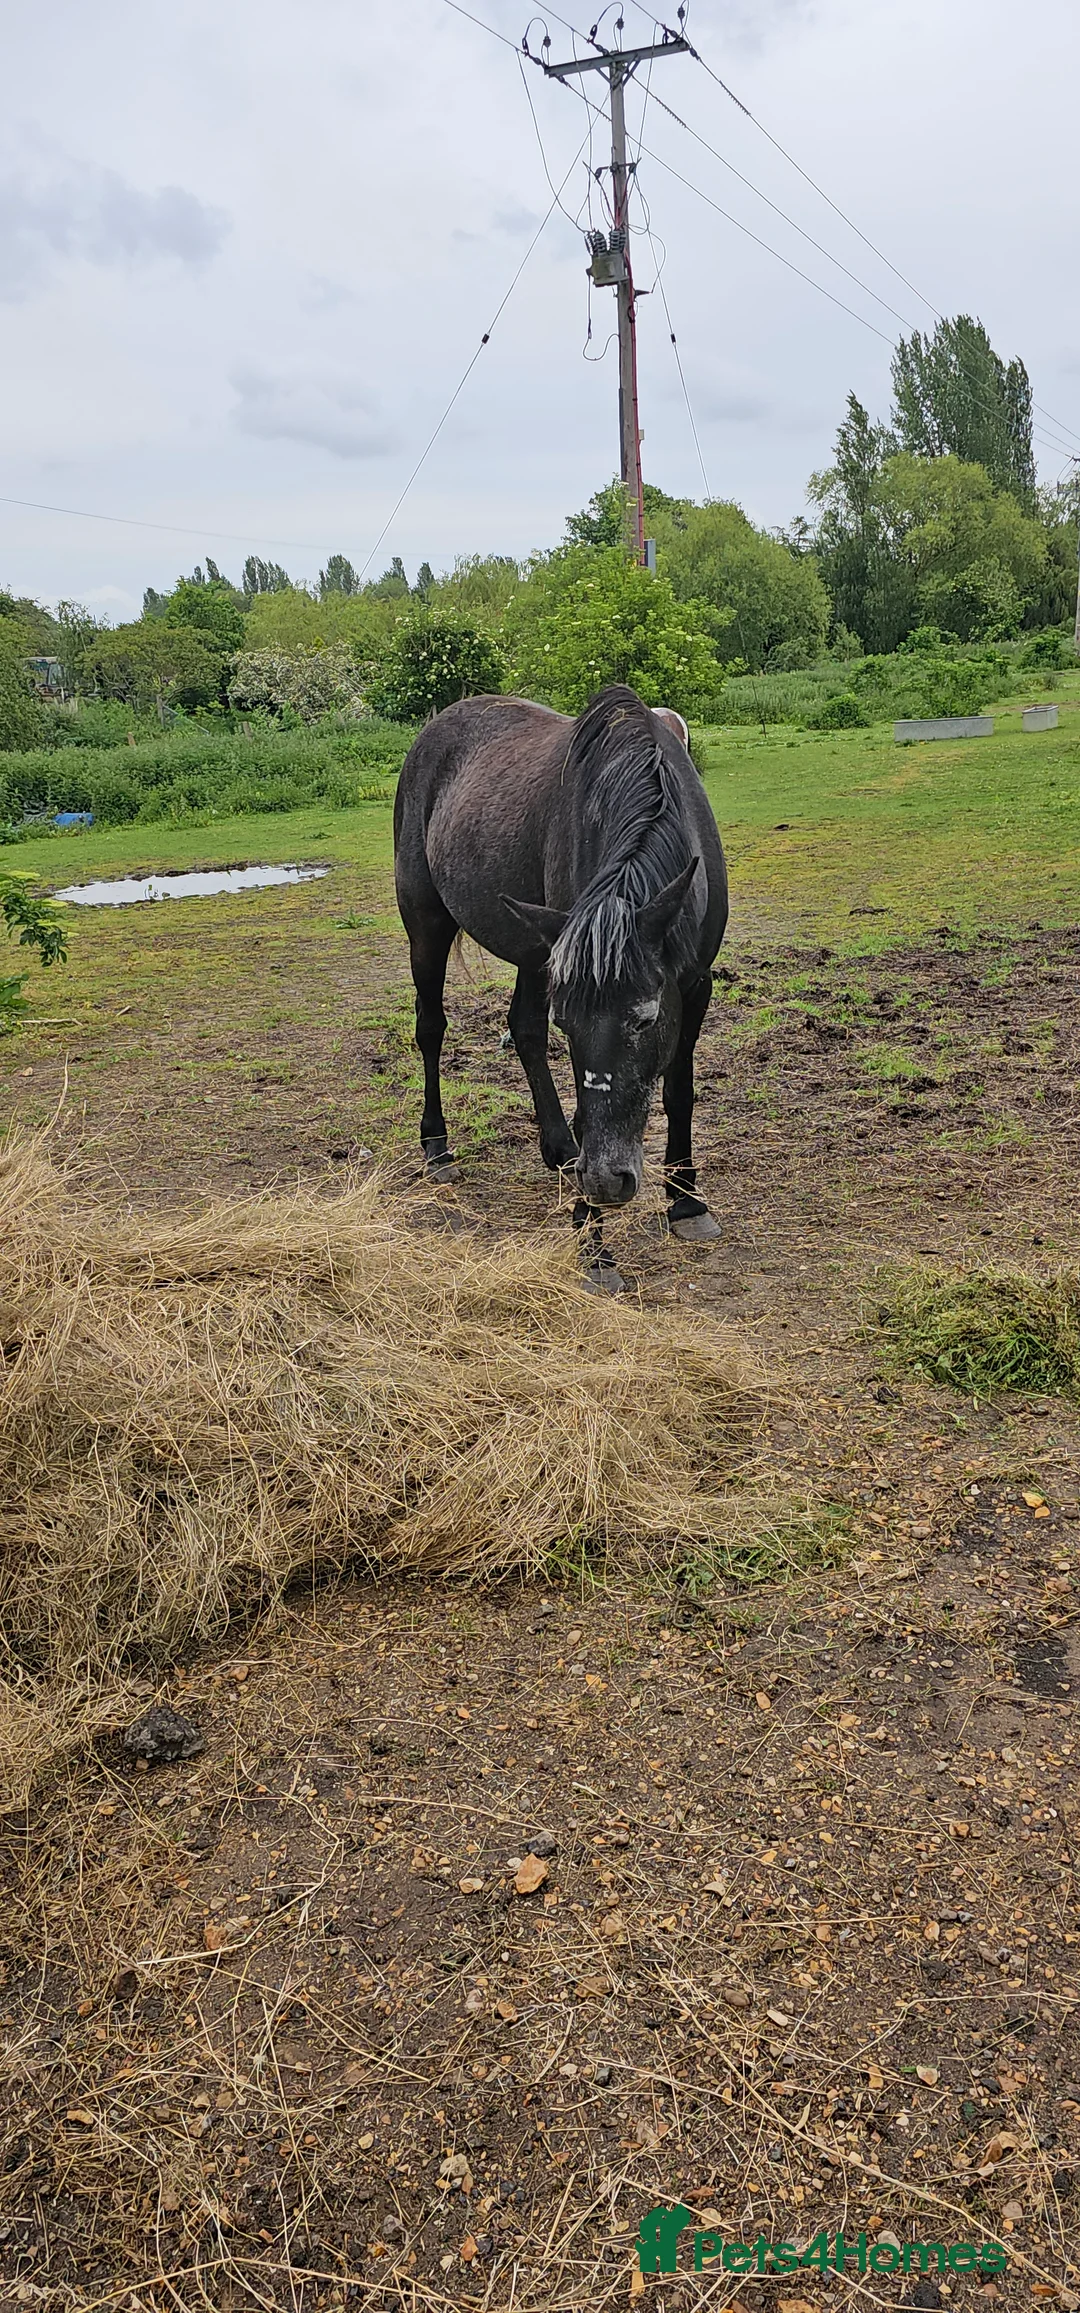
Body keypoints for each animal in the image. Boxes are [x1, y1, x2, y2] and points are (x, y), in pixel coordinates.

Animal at [392, 682, 729, 1289]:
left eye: (645, 1016)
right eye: (568, 1026)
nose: (604, 1182)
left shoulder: (693, 986)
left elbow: (679, 1091)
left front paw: (687, 1201)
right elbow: (587, 1105)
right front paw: (592, 1240)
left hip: (535, 949)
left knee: (522, 1030)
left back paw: (560, 1152)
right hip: (427, 926)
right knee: (431, 1029)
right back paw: (439, 1148)